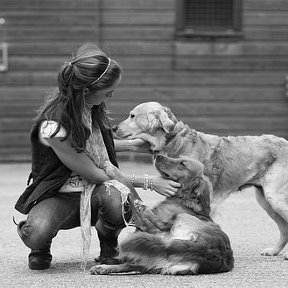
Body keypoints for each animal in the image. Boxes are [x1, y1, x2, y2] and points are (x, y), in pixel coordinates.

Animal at [90, 154, 234, 276]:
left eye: (182, 163)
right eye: (179, 157)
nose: (158, 155)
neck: (184, 199)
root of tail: (206, 250)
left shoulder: (146, 225)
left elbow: (129, 185)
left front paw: (112, 168)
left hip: (180, 218)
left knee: (160, 223)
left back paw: (144, 208)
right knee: (134, 265)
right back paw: (103, 268)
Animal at [113, 101, 288, 258]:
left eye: (132, 116)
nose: (113, 128)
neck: (173, 139)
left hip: (275, 199)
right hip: (265, 200)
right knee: (284, 229)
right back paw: (274, 250)